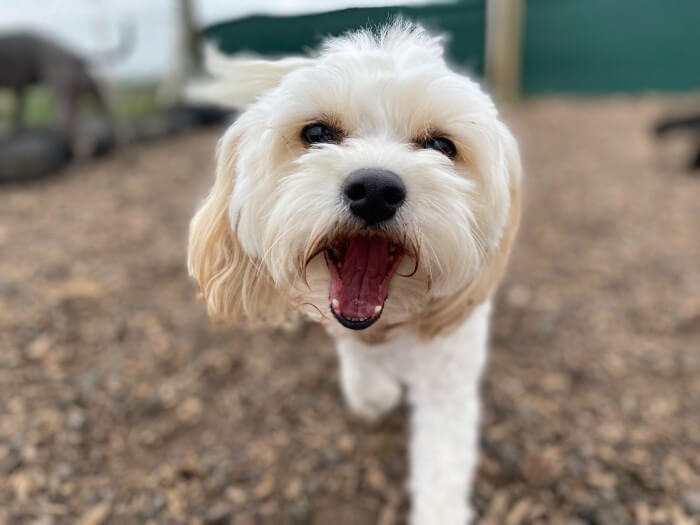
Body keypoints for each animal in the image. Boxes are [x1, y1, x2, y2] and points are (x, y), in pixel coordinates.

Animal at [189, 21, 524, 524]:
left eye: (442, 145)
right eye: (317, 131)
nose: (375, 189)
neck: (391, 324)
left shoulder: (448, 378)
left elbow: (443, 460)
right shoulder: (346, 331)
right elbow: (360, 367)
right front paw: (374, 393)